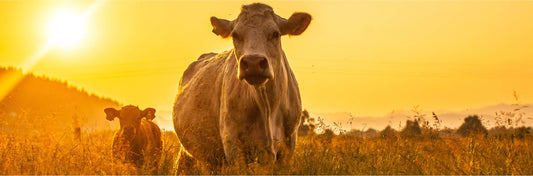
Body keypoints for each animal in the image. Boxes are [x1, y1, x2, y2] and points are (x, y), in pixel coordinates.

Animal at [172, 2, 310, 171]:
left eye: (275, 34)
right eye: (235, 35)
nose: (253, 62)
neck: (267, 107)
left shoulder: (288, 145)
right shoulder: (232, 142)